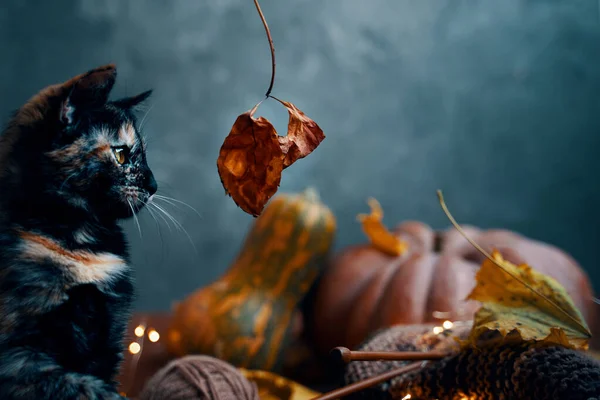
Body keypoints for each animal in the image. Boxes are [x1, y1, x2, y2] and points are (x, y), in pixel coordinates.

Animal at [0, 64, 157, 398]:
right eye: (121, 154)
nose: (154, 186)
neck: (78, 246)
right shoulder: (18, 358)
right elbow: (85, 388)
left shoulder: (109, 345)